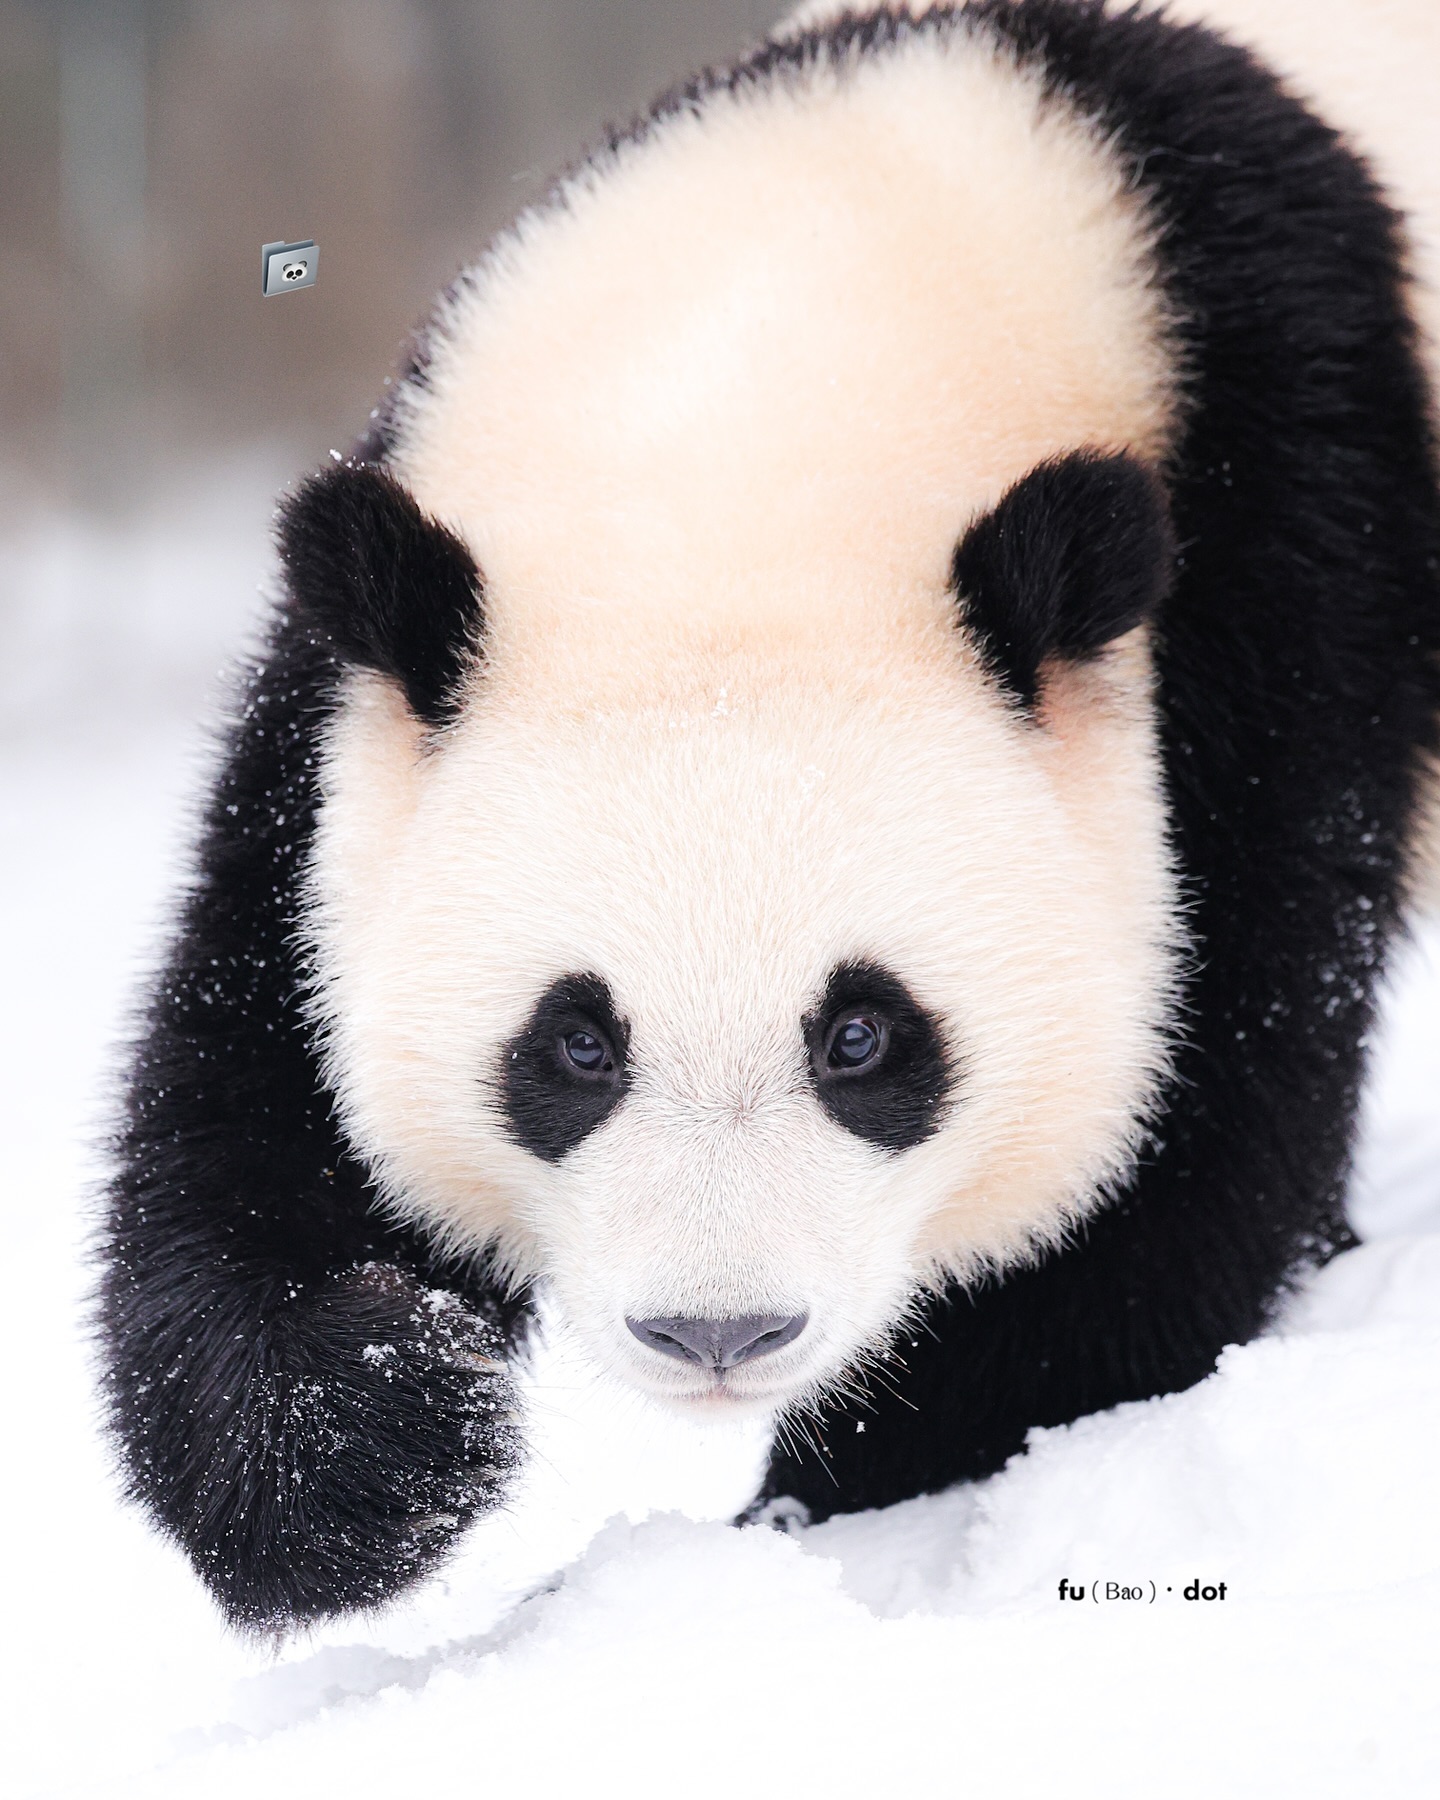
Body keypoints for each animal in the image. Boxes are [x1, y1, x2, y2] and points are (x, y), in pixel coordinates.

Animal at [98, 0, 1440, 1634]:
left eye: (864, 1036)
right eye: (575, 1044)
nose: (716, 1334)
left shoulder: (1290, 525)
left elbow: (1205, 1127)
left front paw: (836, 1494)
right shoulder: (366, 654)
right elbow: (243, 1076)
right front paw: (384, 1424)